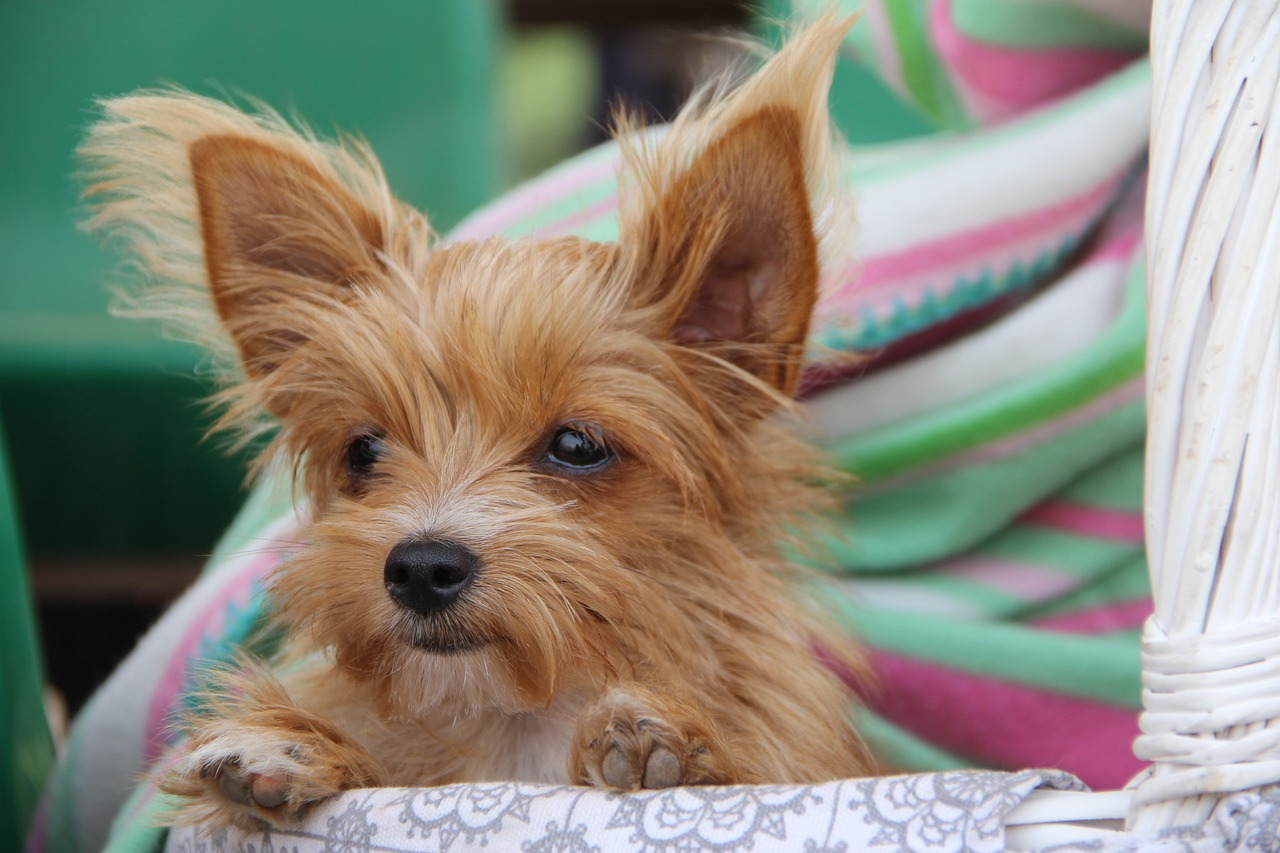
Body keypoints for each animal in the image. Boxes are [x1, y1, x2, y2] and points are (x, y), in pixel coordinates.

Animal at [80, 9, 875, 824]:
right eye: (363, 451)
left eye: (577, 445)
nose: (420, 567)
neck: (517, 723)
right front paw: (290, 745)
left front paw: (672, 746)